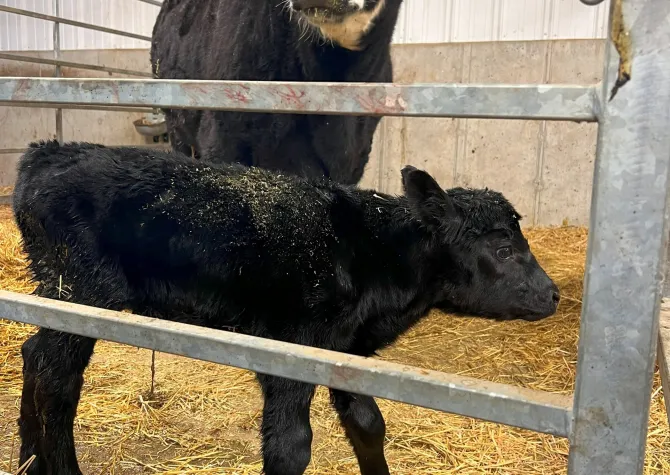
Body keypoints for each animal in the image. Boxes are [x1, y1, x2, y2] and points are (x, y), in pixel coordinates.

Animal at [13, 141, 560, 475]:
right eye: (504, 249)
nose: (552, 293)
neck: (373, 250)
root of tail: (51, 151)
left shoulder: (345, 352)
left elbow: (368, 424)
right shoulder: (290, 349)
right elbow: (290, 446)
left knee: (33, 354)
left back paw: (28, 459)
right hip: (80, 294)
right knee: (57, 380)